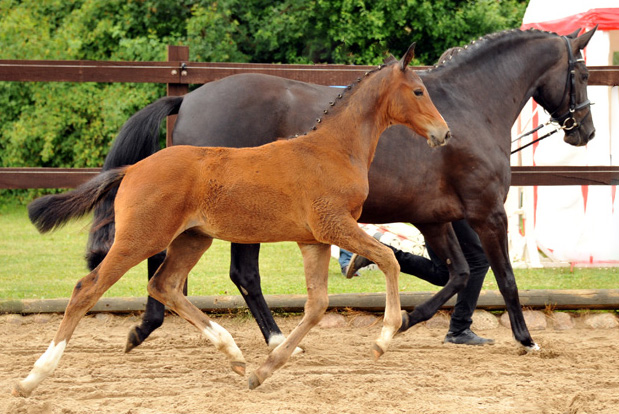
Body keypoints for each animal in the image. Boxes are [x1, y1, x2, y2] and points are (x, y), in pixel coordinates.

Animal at [15, 42, 450, 398]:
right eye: (418, 91)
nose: (444, 133)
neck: (332, 150)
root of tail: (133, 169)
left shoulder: (313, 239)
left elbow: (317, 305)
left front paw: (265, 370)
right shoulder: (335, 225)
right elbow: (389, 259)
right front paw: (385, 336)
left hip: (193, 238)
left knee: (165, 285)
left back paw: (233, 352)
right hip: (141, 238)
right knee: (87, 289)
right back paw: (34, 377)